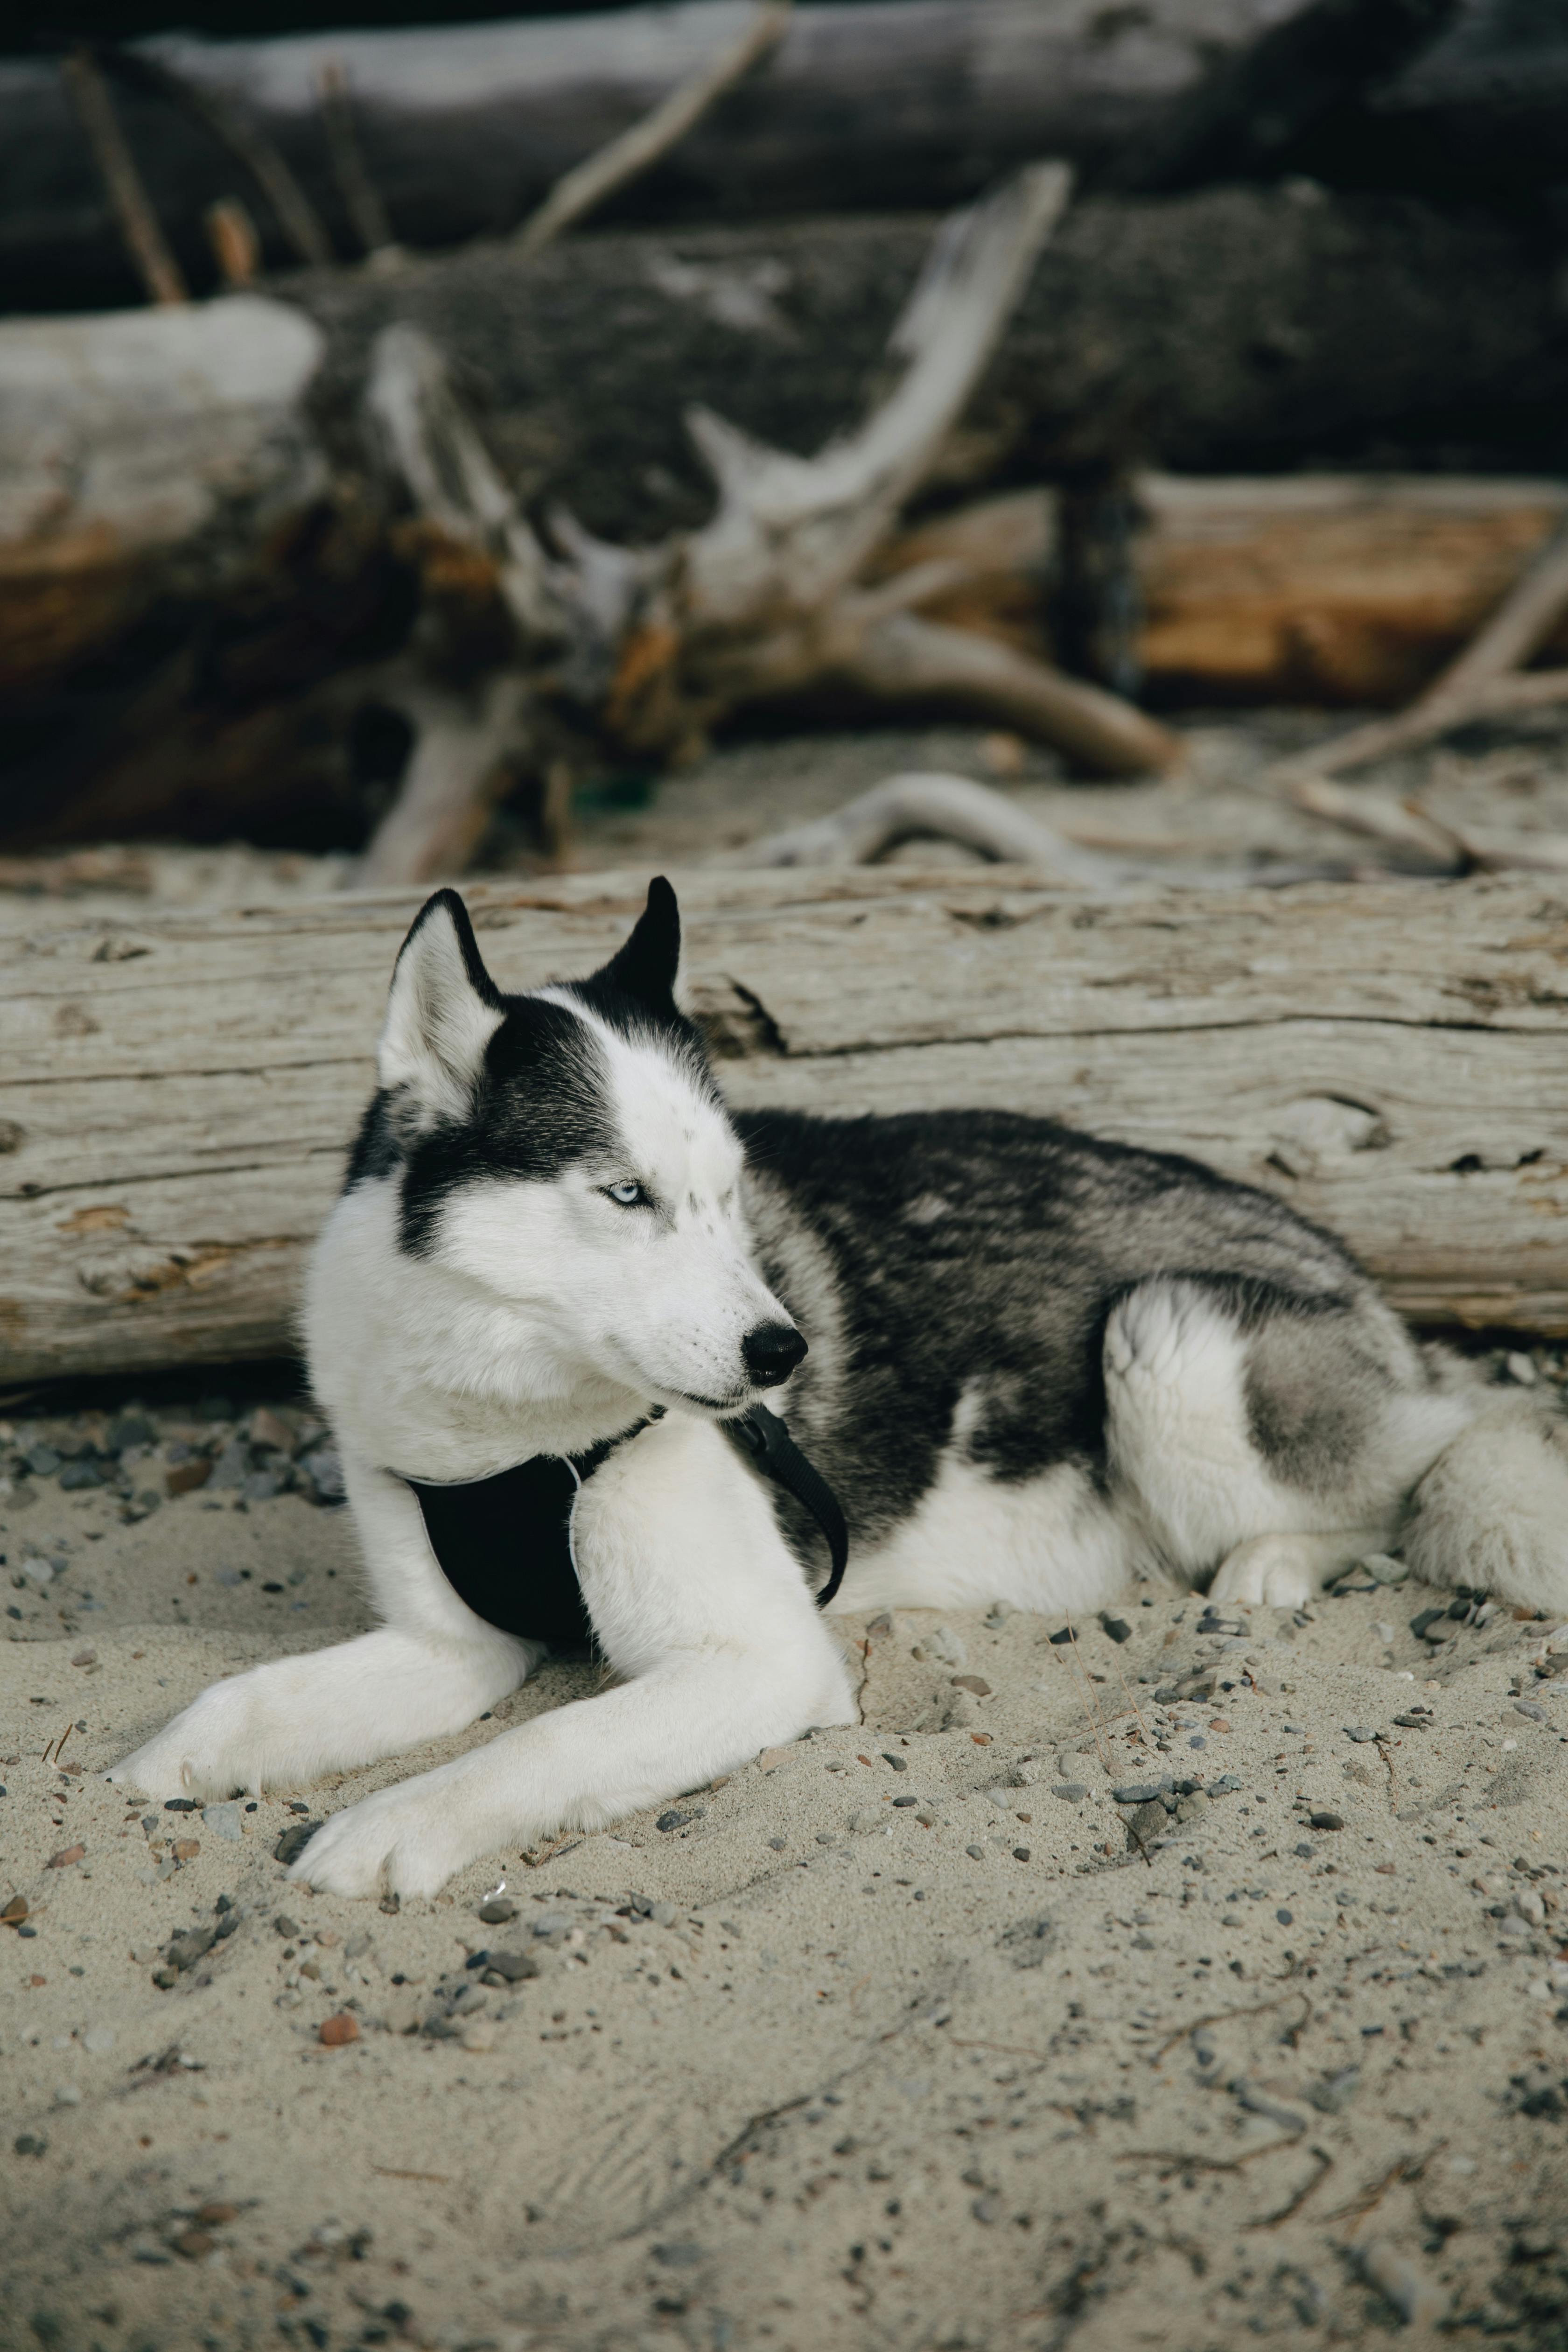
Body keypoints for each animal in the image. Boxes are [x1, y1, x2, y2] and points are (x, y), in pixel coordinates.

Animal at [113, 884, 1568, 1891]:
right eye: (627, 1194)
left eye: (724, 1192)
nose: (784, 1355)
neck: (513, 1427)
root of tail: (1346, 1262)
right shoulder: (446, 1645)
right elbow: (244, 1700)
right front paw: (162, 1759)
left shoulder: (759, 1662)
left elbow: (537, 1747)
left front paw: (392, 1827)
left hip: (1170, 1340)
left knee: (1430, 1466)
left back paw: (1275, 1562)